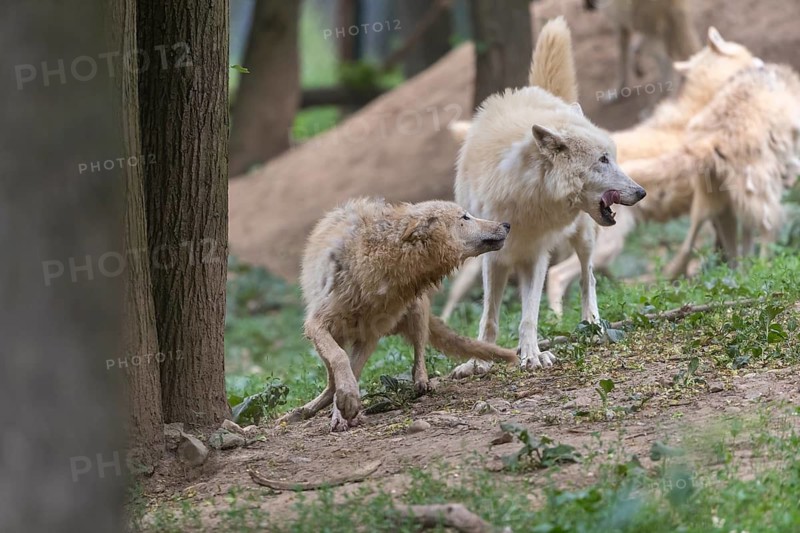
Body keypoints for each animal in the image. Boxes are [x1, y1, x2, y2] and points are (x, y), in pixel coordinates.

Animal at [278, 198, 518, 431]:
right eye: (465, 217)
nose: (506, 224)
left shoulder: (369, 337)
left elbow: (352, 370)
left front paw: (345, 410)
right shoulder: (317, 324)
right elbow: (340, 359)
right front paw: (347, 403)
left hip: (417, 310)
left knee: (419, 349)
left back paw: (421, 381)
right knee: (331, 382)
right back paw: (301, 412)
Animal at [449, 17, 646, 379]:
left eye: (613, 156)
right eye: (603, 159)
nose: (641, 192)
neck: (527, 196)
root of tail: (544, 94)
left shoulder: (535, 256)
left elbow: (529, 315)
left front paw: (532, 355)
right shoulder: (494, 257)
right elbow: (489, 318)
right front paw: (478, 361)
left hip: (585, 238)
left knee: (587, 278)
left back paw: (592, 326)